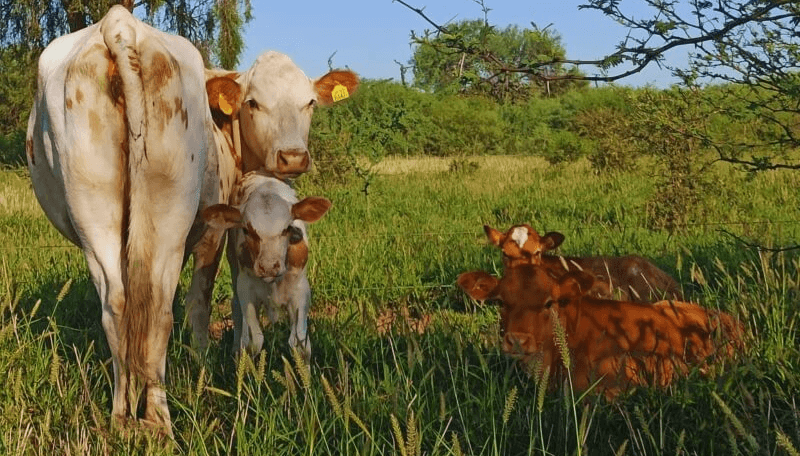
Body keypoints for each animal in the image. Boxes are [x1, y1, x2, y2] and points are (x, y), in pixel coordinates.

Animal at [201, 171, 331, 360]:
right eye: (247, 230)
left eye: (287, 228)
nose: (269, 266)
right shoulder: (246, 288)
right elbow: (252, 342)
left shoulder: (300, 289)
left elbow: (300, 344)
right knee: (235, 307)